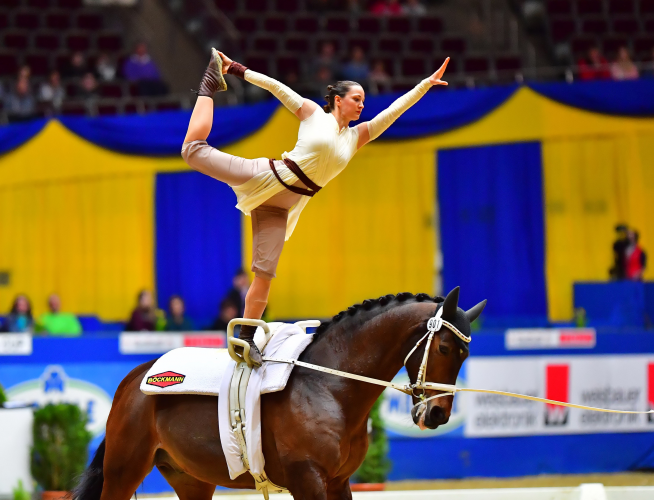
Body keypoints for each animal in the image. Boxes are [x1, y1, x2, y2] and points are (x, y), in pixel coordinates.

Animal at [73, 288, 486, 500]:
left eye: (466, 355)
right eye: (444, 348)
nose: (437, 415)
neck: (328, 388)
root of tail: (135, 379)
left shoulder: (338, 483)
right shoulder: (308, 481)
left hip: (192, 480)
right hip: (124, 471)